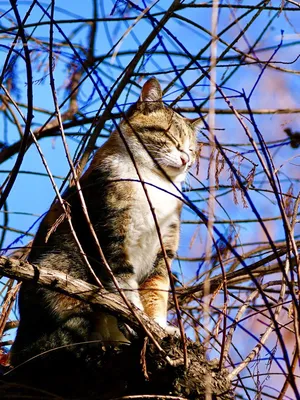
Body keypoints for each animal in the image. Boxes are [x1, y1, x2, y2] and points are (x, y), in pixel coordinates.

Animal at [10, 76, 200, 368]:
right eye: (170, 136)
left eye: (192, 149)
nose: (186, 159)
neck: (154, 183)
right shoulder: (112, 233)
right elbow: (123, 282)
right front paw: (136, 317)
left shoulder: (163, 248)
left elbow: (157, 291)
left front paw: (160, 327)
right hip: (63, 276)